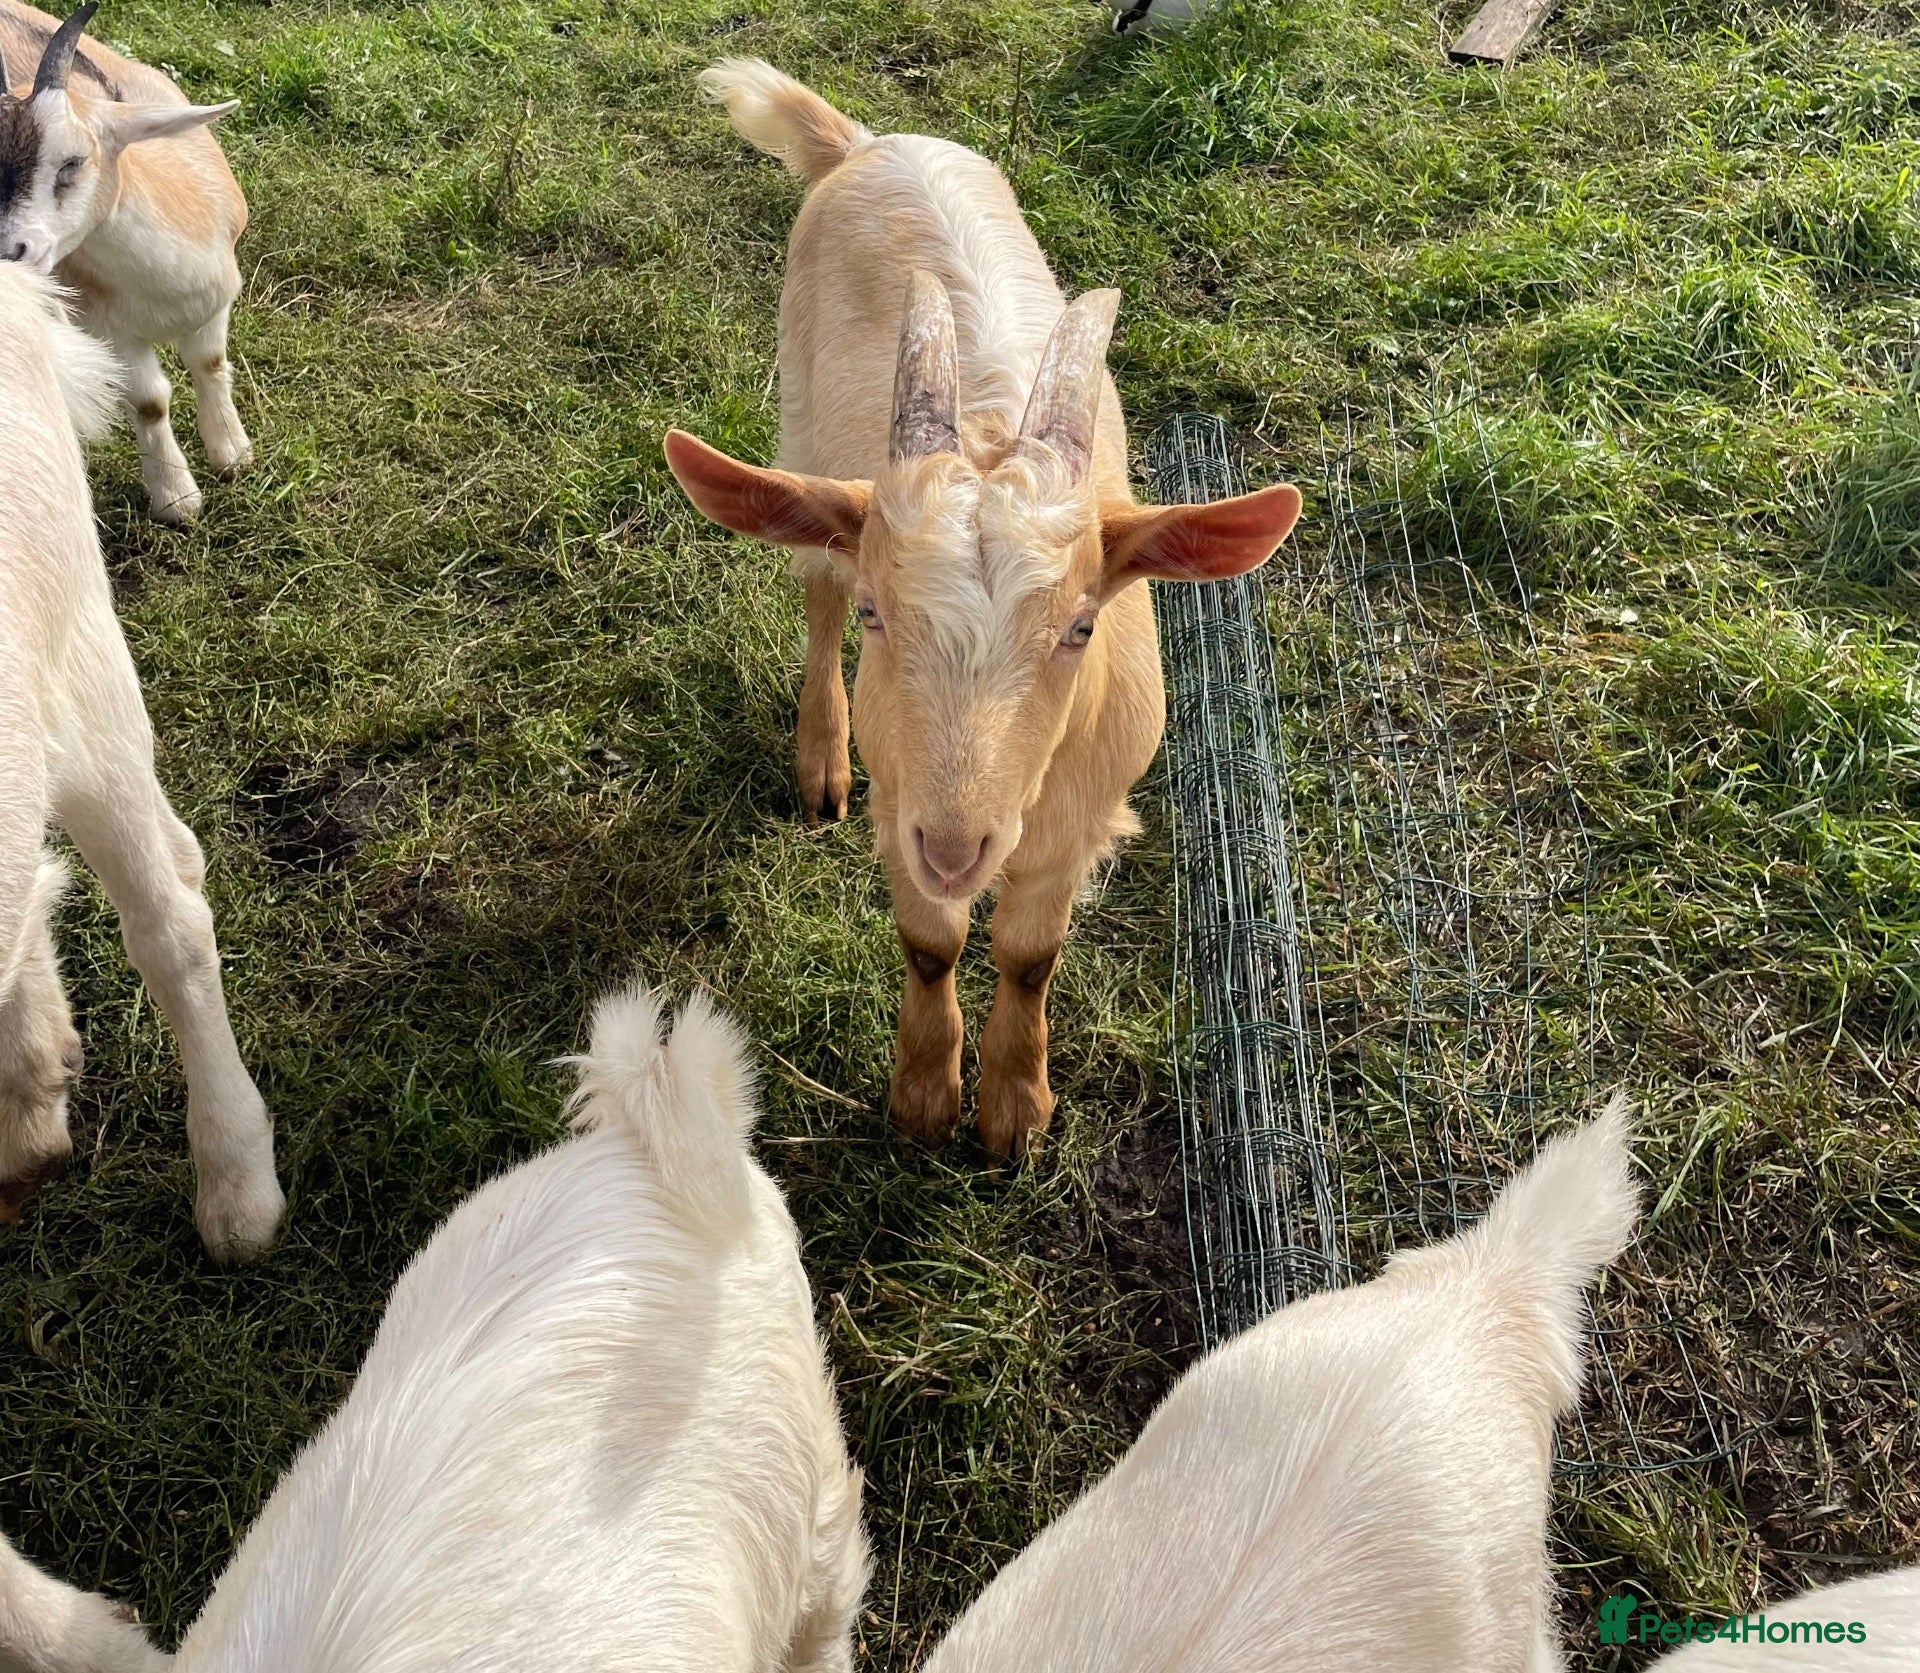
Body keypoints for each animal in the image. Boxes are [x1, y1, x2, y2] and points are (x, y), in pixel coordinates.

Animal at [0, 2, 250, 524]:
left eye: (73, 161)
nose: (14, 250)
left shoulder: (217, 301)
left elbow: (210, 362)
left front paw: (232, 455)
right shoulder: (110, 332)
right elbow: (150, 401)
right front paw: (176, 498)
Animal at [667, 61, 1303, 1158]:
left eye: (1081, 627)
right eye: (884, 616)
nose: (959, 847)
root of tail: (872, 142)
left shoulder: (1079, 815)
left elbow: (1028, 955)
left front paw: (1014, 1108)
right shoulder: (905, 799)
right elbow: (930, 942)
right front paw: (926, 1095)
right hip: (802, 414)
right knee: (813, 586)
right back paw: (819, 757)